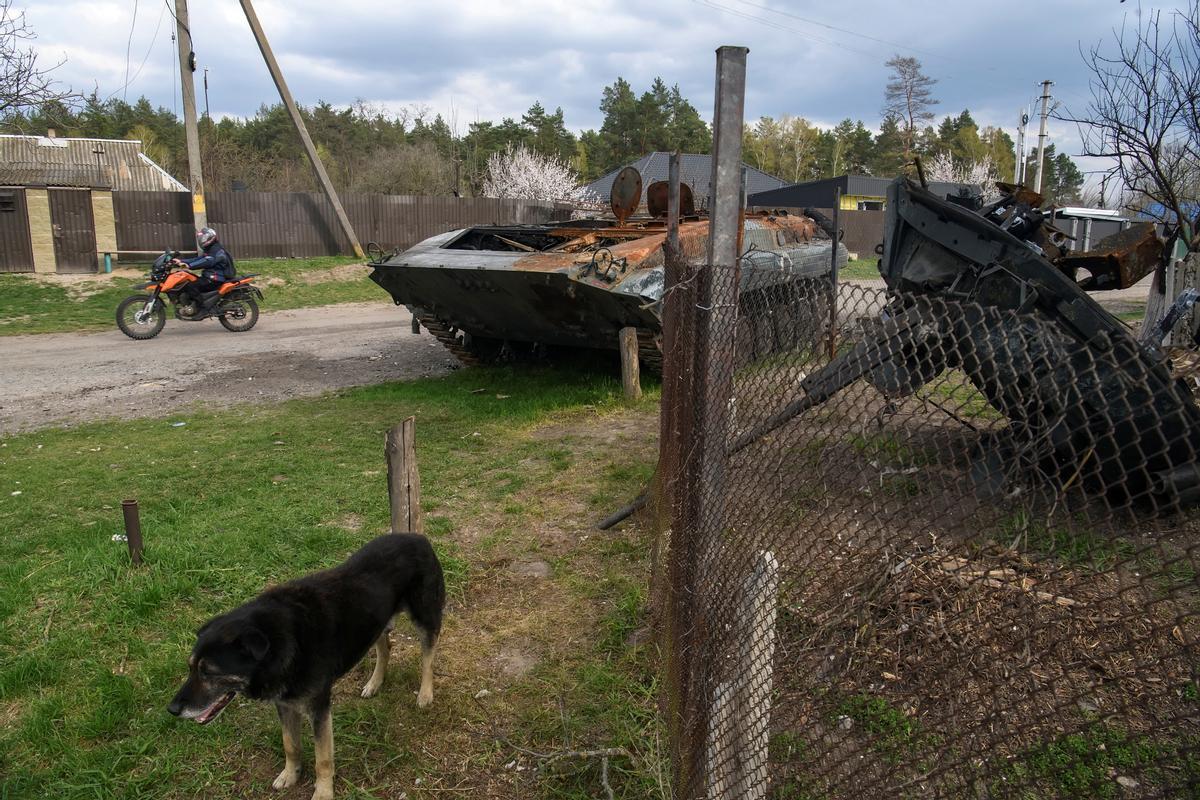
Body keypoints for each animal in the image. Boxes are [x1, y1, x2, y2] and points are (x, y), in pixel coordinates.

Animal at [168, 532, 446, 800]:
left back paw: (425, 693)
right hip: (375, 622)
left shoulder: (318, 709)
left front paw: (323, 792)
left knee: (428, 657)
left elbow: (323, 759)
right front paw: (290, 775)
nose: (172, 710)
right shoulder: (285, 704)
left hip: (425, 618)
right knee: (384, 647)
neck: (284, 642)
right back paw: (375, 683)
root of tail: (417, 537)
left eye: (209, 672)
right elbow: (290, 745)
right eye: (191, 667)